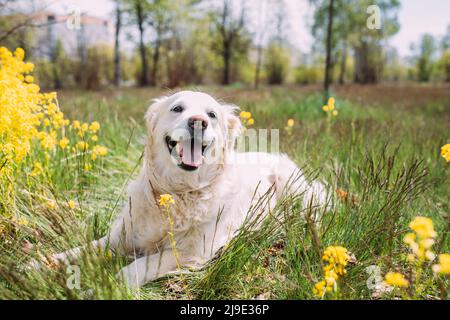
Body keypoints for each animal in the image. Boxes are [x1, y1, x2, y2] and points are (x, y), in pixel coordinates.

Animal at [43, 90, 326, 288]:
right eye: (177, 108)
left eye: (211, 115)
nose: (198, 122)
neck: (178, 193)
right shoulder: (119, 238)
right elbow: (78, 251)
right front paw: (40, 264)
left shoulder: (194, 252)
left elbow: (139, 265)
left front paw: (107, 286)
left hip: (293, 184)